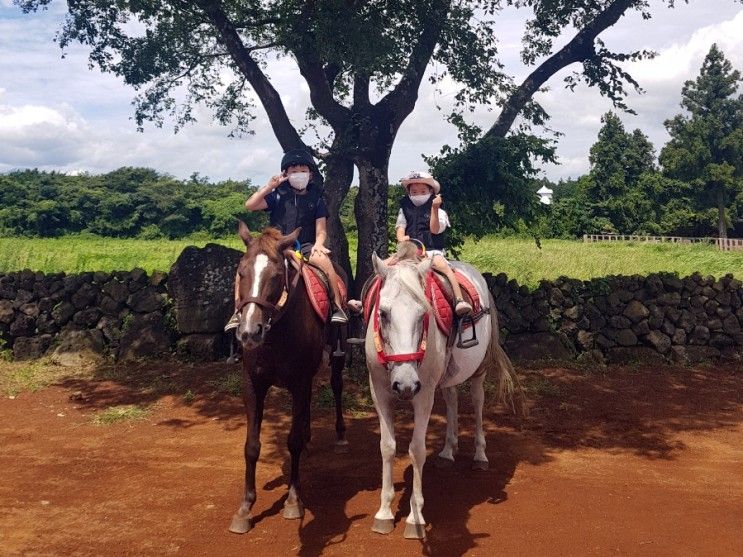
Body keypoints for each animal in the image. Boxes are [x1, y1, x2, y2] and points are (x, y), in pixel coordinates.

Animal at [228, 222, 348, 536]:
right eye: (241, 272)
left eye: (276, 276)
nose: (249, 332)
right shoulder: (252, 385)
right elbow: (251, 446)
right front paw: (245, 508)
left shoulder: (299, 381)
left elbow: (291, 441)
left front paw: (294, 500)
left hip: (338, 352)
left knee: (336, 385)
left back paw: (339, 433)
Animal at [366, 250, 524, 536]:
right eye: (382, 313)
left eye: (423, 314)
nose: (405, 384)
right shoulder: (380, 392)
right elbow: (387, 447)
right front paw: (383, 513)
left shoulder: (424, 394)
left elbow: (417, 449)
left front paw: (415, 518)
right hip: (449, 375)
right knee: (452, 401)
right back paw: (448, 451)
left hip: (478, 371)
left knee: (477, 402)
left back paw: (480, 456)